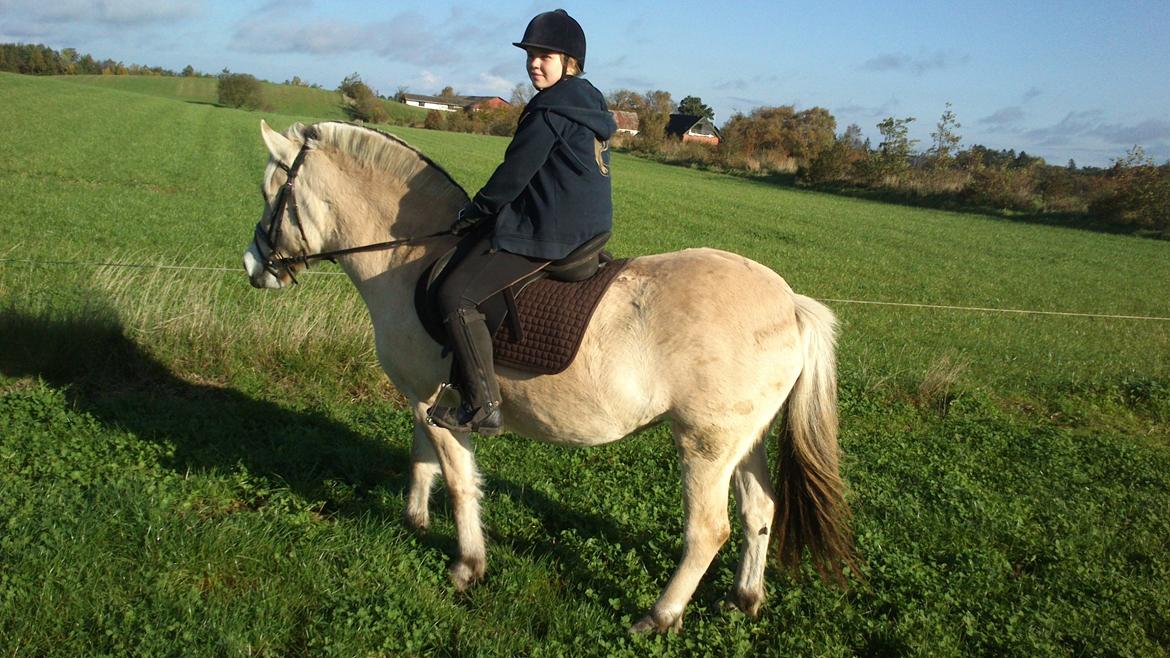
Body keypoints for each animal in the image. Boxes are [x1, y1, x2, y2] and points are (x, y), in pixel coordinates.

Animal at [242, 117, 856, 632]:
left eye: (273, 196)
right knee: (759, 512)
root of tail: (788, 301)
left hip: (704, 446)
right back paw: (744, 599)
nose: (253, 267)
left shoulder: (443, 408)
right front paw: (414, 520)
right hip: (743, 440)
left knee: (708, 530)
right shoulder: (425, 398)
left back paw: (658, 617)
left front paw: (467, 566)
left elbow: (460, 482)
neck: (411, 260)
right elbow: (422, 461)